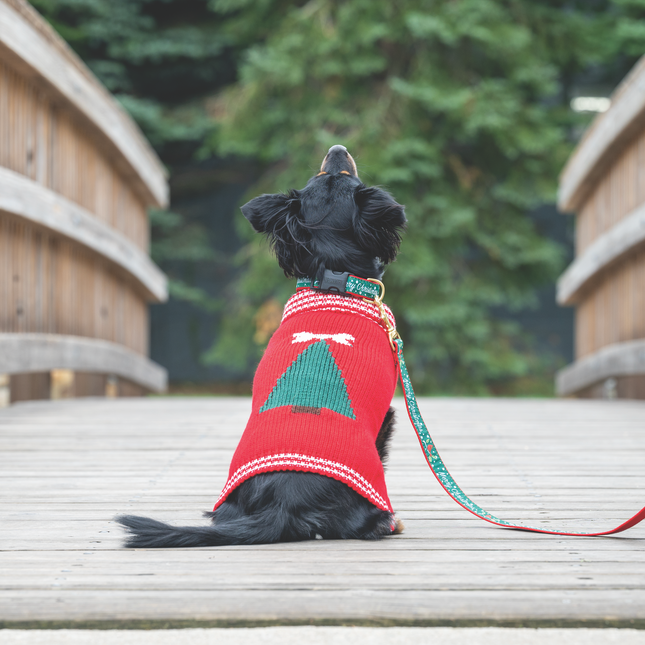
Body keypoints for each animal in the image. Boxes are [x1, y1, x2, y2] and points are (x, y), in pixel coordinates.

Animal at [117, 145, 402, 544]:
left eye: (324, 175)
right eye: (339, 176)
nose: (336, 149)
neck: (334, 278)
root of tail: (283, 503)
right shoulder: (386, 415)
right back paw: (388, 521)